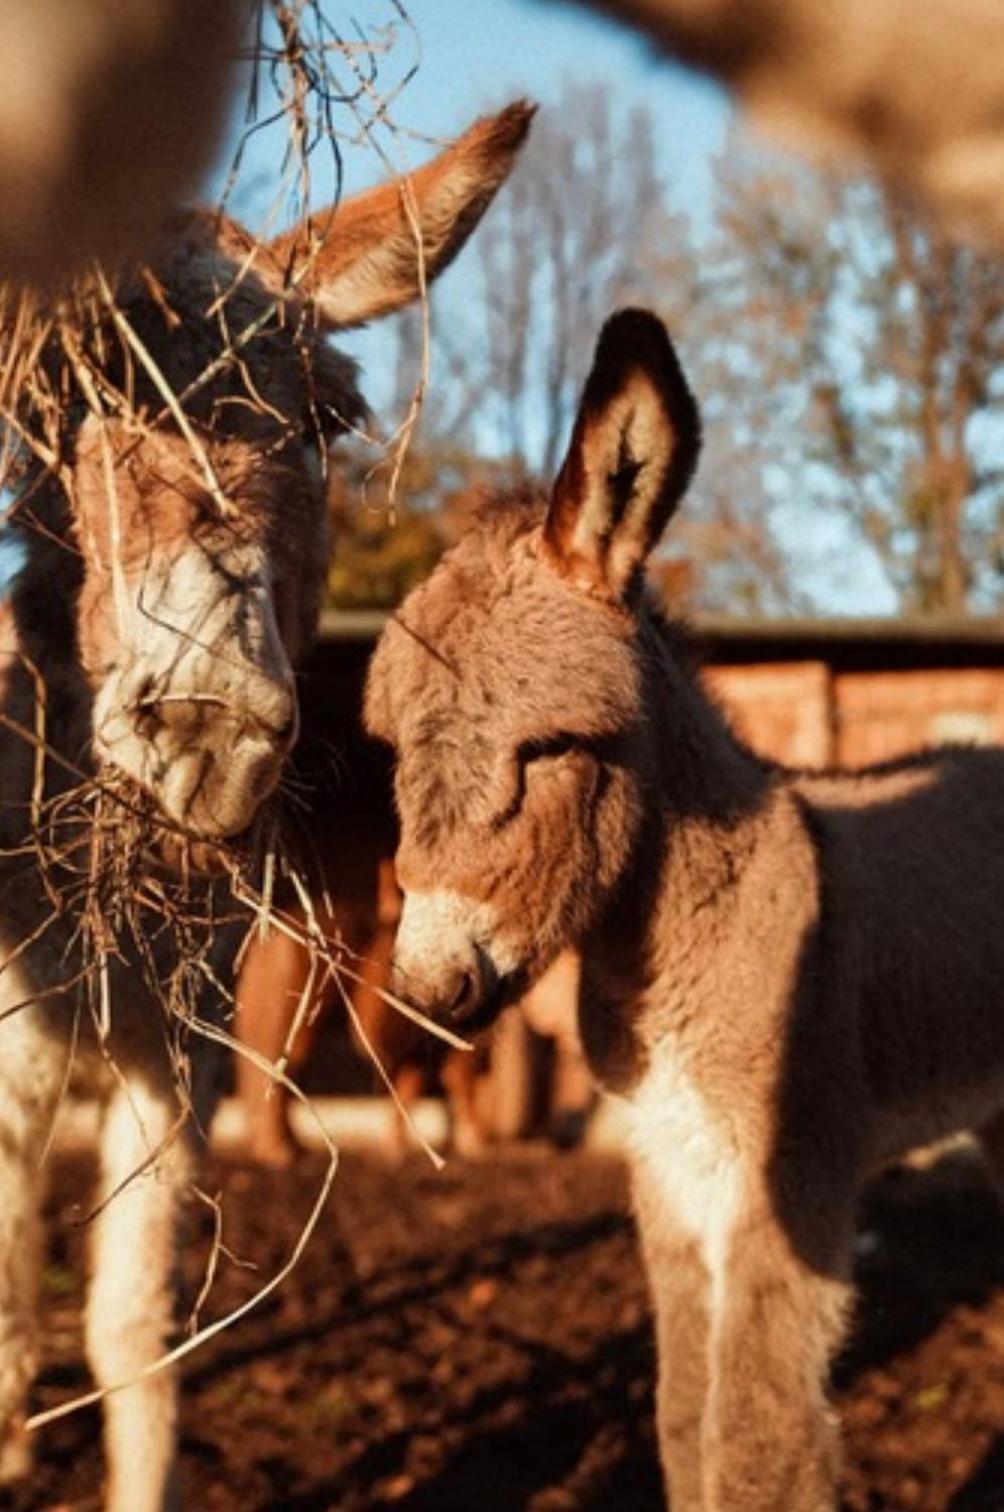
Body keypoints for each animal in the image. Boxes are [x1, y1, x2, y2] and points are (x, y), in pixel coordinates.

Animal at [368, 303, 1004, 1499]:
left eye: (551, 747)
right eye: (389, 752)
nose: (429, 988)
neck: (670, 954)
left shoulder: (788, 1180)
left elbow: (755, 1439)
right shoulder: (664, 1169)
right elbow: (679, 1414)